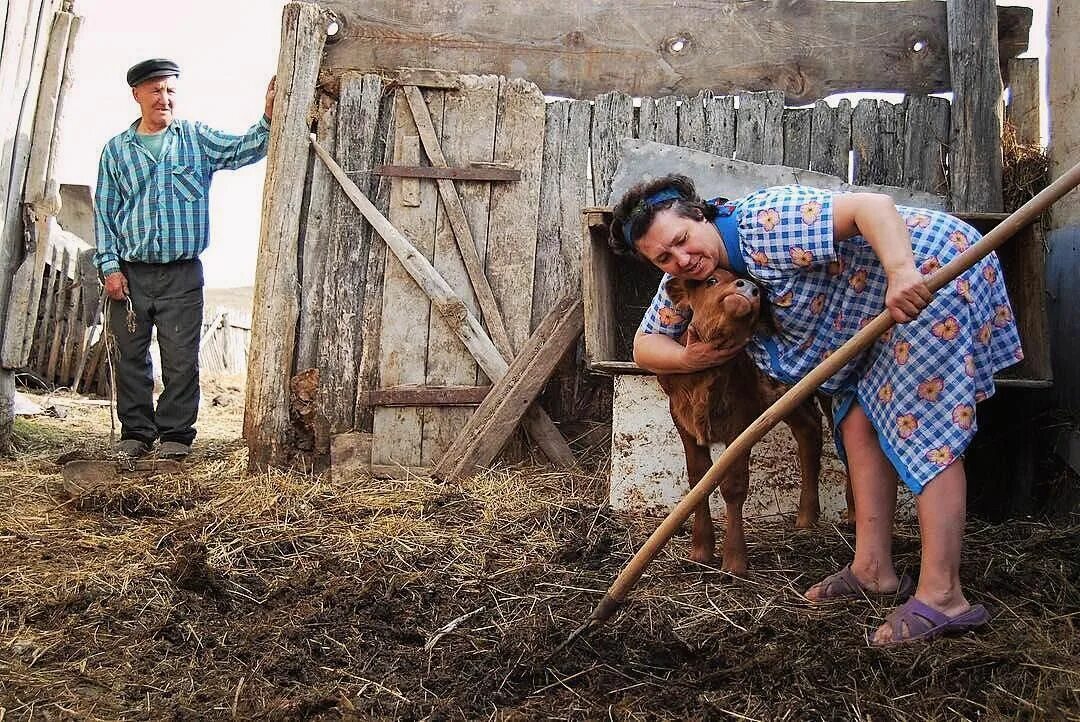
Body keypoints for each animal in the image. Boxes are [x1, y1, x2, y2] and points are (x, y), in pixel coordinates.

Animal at [652, 267, 820, 569]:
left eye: (758, 289)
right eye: (711, 280)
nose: (748, 287)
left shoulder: (741, 420)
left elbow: (734, 486)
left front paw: (734, 561)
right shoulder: (681, 419)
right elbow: (698, 479)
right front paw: (701, 551)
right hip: (790, 398)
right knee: (809, 431)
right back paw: (806, 518)